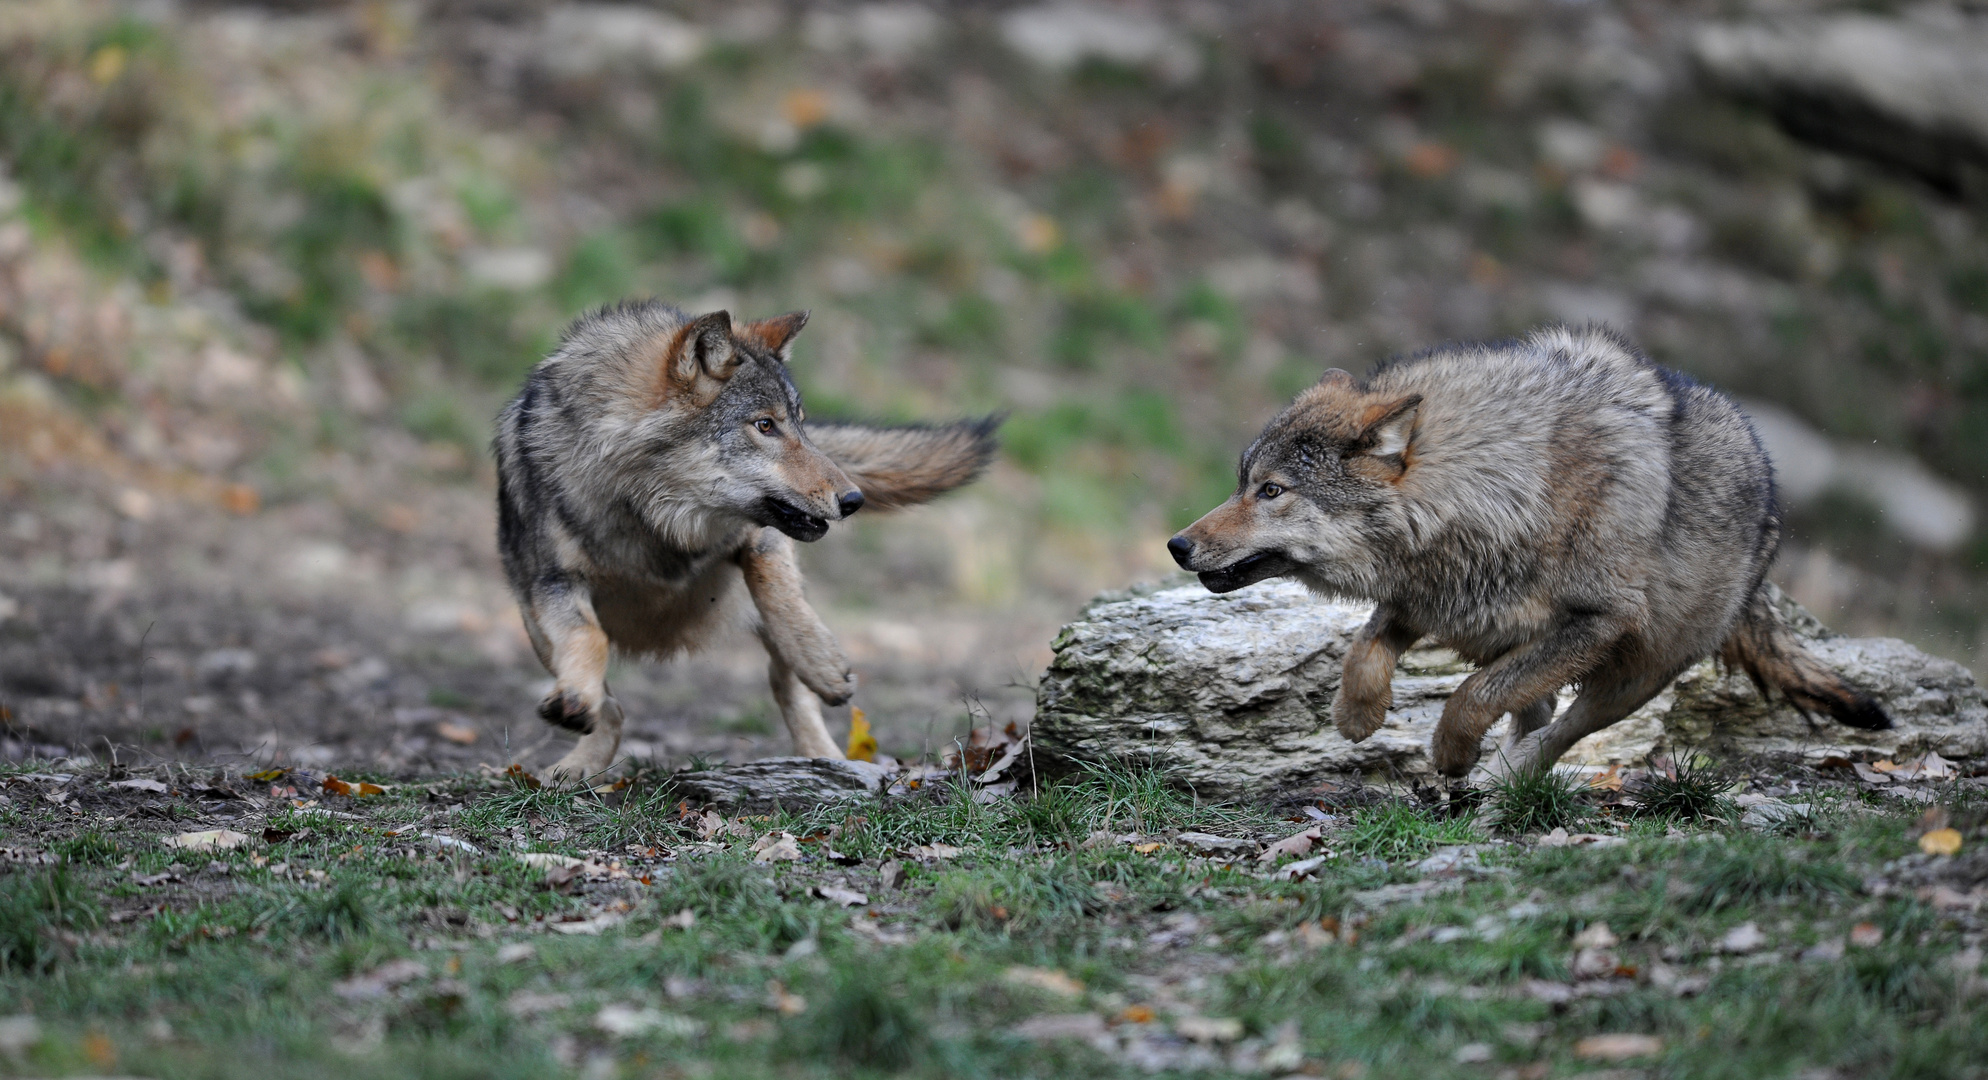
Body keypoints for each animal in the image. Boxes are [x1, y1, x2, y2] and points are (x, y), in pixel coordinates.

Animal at [491, 300, 1001, 783]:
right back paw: (576, 760)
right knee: (612, 705)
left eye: (800, 423)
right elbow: (589, 637)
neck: (656, 523)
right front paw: (577, 702)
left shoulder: (762, 536)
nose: (853, 499)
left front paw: (821, 661)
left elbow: (772, 582)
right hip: (533, 624)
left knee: (789, 688)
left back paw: (828, 756)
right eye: (765, 425)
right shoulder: (552, 584)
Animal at [1160, 324, 1892, 779]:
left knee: (1556, 731)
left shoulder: (1593, 623)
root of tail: (1770, 501)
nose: (1176, 545)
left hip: (1631, 675)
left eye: (1271, 490)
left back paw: (1501, 782)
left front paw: (1451, 754)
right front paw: (1356, 718)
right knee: (1530, 711)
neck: (1507, 486)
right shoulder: (1430, 600)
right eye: (1241, 482)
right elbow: (1365, 654)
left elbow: (1470, 698)